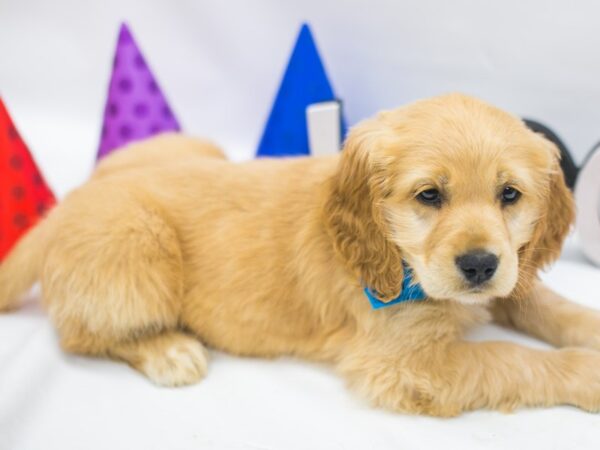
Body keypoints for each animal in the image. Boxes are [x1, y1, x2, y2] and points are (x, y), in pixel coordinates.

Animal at [1, 94, 600, 414]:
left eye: (510, 195)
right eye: (429, 196)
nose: (478, 266)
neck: (397, 259)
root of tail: (67, 203)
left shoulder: (512, 269)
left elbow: (545, 303)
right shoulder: (405, 363)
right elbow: (513, 359)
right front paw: (589, 372)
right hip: (137, 247)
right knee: (78, 332)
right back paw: (168, 350)